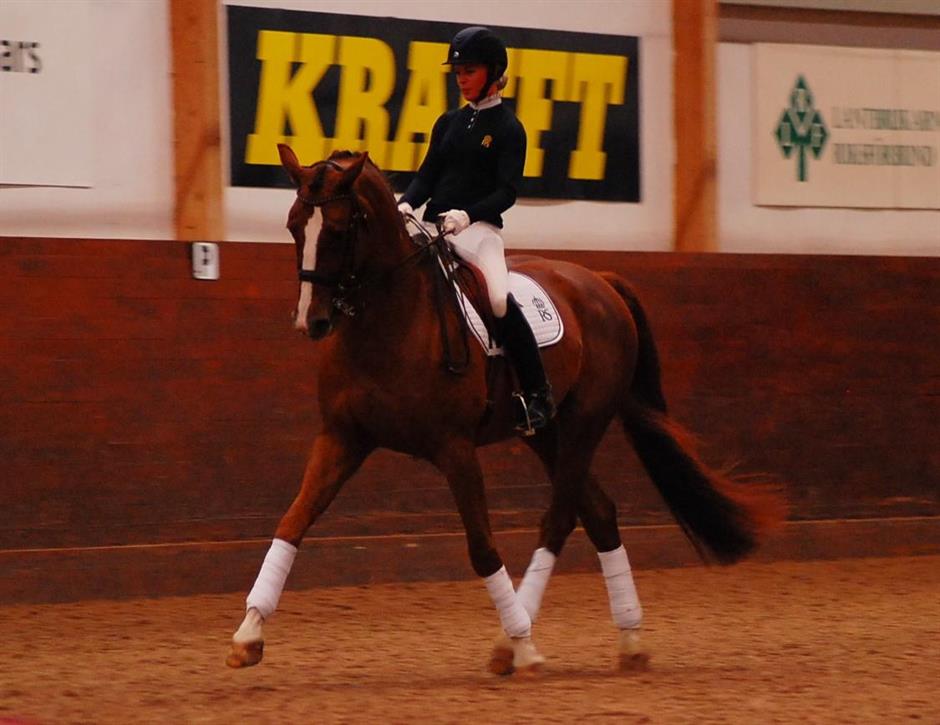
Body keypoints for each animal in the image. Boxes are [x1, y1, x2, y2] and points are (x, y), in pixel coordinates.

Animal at [226, 146, 786, 674]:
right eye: (295, 225)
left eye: (341, 229)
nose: (311, 321)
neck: (389, 321)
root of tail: (600, 280)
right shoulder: (342, 438)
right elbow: (291, 523)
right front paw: (248, 636)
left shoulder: (454, 449)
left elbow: (482, 547)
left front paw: (524, 645)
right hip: (546, 433)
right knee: (599, 513)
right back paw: (629, 641)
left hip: (584, 423)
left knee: (560, 518)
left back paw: (514, 643)